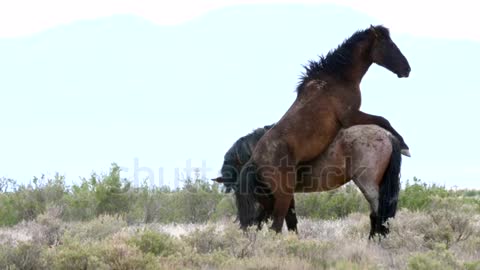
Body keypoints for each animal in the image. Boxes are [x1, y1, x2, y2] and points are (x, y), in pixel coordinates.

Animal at [234, 24, 410, 232]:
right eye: (388, 44)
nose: (407, 69)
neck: (335, 79)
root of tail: (254, 160)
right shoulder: (350, 116)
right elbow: (384, 119)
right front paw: (405, 146)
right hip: (284, 195)